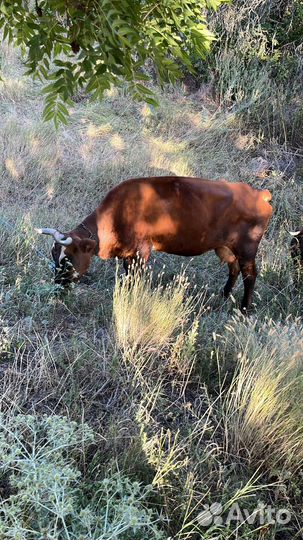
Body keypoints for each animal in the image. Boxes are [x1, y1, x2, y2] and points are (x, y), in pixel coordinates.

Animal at [35, 176, 274, 310]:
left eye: (67, 259)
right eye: (54, 256)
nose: (57, 286)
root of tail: (258, 193)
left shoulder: (142, 250)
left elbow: (136, 278)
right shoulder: (129, 254)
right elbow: (128, 274)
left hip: (247, 249)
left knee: (250, 276)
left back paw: (243, 309)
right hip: (225, 248)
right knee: (233, 270)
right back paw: (224, 296)